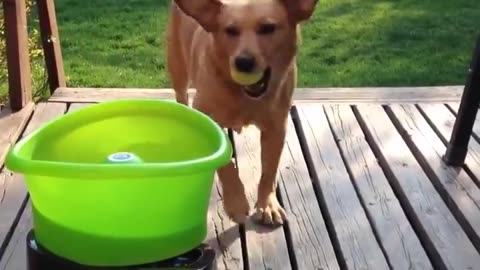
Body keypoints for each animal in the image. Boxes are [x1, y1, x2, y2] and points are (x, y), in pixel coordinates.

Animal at [167, 0, 316, 225]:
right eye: (230, 30)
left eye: (267, 28)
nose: (243, 62)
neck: (244, 97)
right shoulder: (209, 117)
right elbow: (226, 164)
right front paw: (236, 202)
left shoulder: (276, 127)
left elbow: (269, 171)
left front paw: (267, 204)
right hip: (178, 69)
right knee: (181, 96)